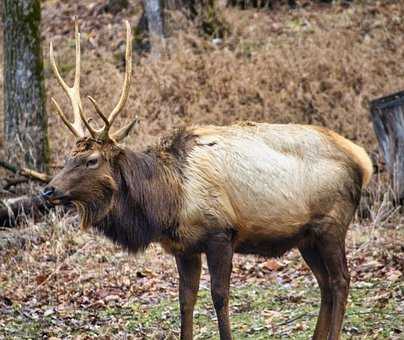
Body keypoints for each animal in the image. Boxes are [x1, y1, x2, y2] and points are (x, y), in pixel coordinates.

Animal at [42, 19, 374, 340]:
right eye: (68, 156)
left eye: (92, 160)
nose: (47, 190)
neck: (166, 203)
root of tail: (363, 160)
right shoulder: (184, 247)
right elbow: (185, 300)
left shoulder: (221, 233)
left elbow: (219, 297)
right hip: (307, 237)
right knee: (325, 284)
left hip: (331, 224)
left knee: (341, 280)